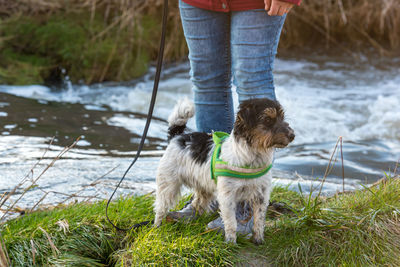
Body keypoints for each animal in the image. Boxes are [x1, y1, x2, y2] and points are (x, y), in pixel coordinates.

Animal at [155, 98, 296, 245]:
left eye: (282, 117)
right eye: (267, 119)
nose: (292, 135)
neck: (252, 156)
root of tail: (177, 136)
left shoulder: (261, 195)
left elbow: (259, 220)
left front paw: (258, 240)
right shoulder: (228, 197)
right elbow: (231, 222)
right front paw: (231, 242)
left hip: (203, 186)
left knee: (198, 203)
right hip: (168, 184)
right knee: (161, 208)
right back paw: (157, 227)